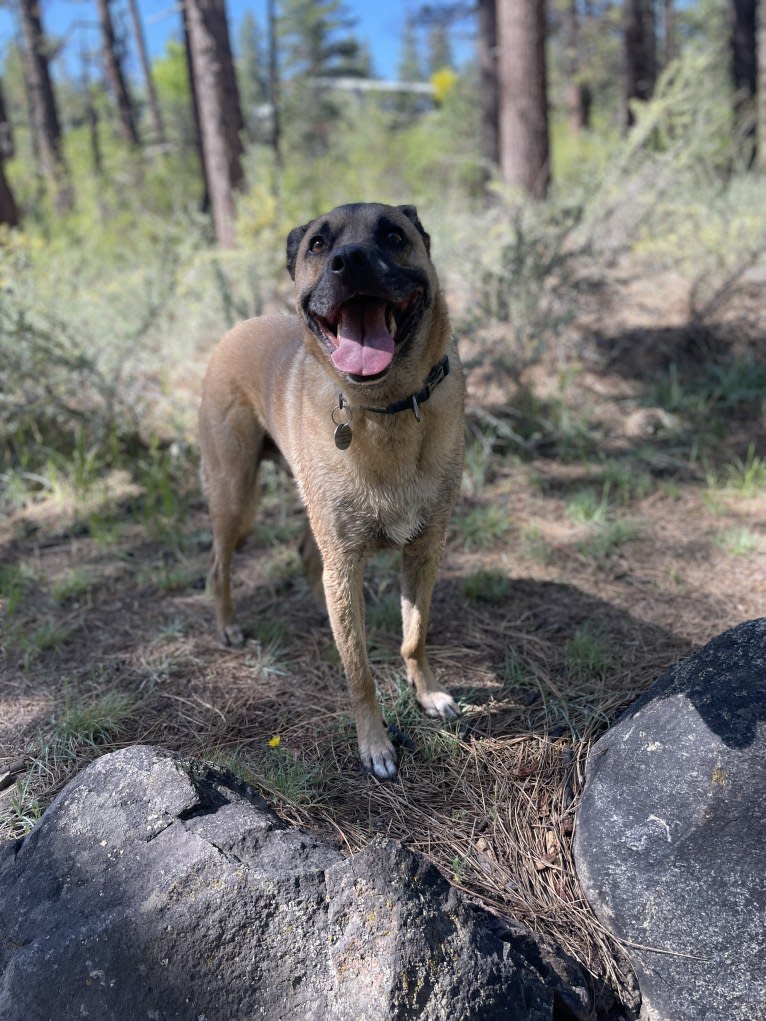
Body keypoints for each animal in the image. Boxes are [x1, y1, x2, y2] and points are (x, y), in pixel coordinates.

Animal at [198, 203, 465, 775]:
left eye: (393, 234)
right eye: (318, 244)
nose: (351, 260)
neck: (385, 408)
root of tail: (238, 327)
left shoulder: (424, 551)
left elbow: (414, 636)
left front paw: (428, 694)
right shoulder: (346, 559)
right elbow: (359, 672)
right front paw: (375, 744)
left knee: (306, 554)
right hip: (235, 495)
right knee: (218, 565)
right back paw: (228, 625)